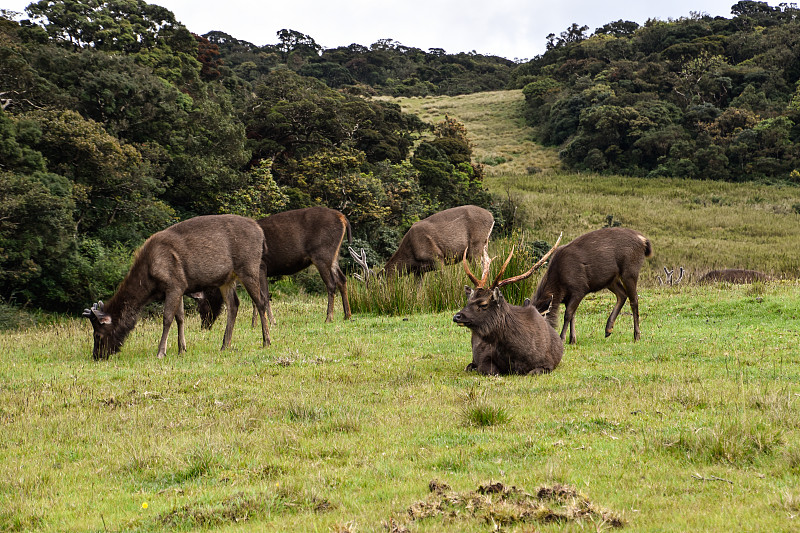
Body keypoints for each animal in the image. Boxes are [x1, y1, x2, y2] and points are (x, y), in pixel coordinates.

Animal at [81, 214, 270, 360]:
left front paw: (161, 352)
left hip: (248, 266)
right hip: (227, 279)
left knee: (261, 301)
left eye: (97, 335)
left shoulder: (174, 284)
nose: (96, 356)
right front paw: (182, 349)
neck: (149, 283)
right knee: (234, 305)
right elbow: (180, 317)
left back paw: (266, 340)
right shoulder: (180, 287)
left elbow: (167, 318)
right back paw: (225, 345)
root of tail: (261, 233)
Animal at [192, 207, 352, 324]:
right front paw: (254, 324)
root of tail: (343, 219)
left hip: (321, 254)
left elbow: (264, 296)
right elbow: (256, 299)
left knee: (331, 284)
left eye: (201, 306)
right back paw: (347, 315)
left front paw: (272, 322)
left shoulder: (261, 267)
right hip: (333, 255)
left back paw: (329, 317)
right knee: (342, 279)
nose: (204, 325)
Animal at [450, 235, 564, 376]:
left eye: (483, 304)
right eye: (469, 300)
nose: (457, 316)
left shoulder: (548, 363)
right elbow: (491, 371)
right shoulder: (485, 356)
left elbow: (532, 372)